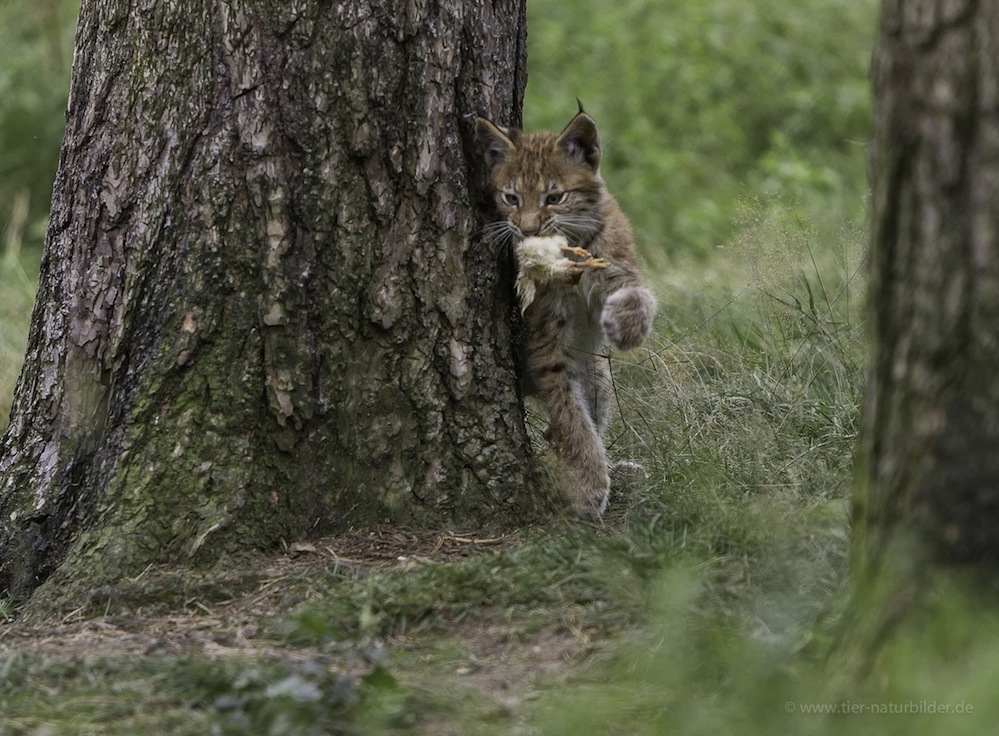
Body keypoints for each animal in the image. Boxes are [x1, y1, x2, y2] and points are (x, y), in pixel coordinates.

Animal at [474, 109, 656, 520]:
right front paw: (588, 486)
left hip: (599, 378)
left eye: (554, 198)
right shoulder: (545, 341)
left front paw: (627, 326)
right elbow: (570, 416)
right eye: (511, 198)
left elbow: (640, 294)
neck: (570, 246)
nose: (527, 229)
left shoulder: (617, 268)